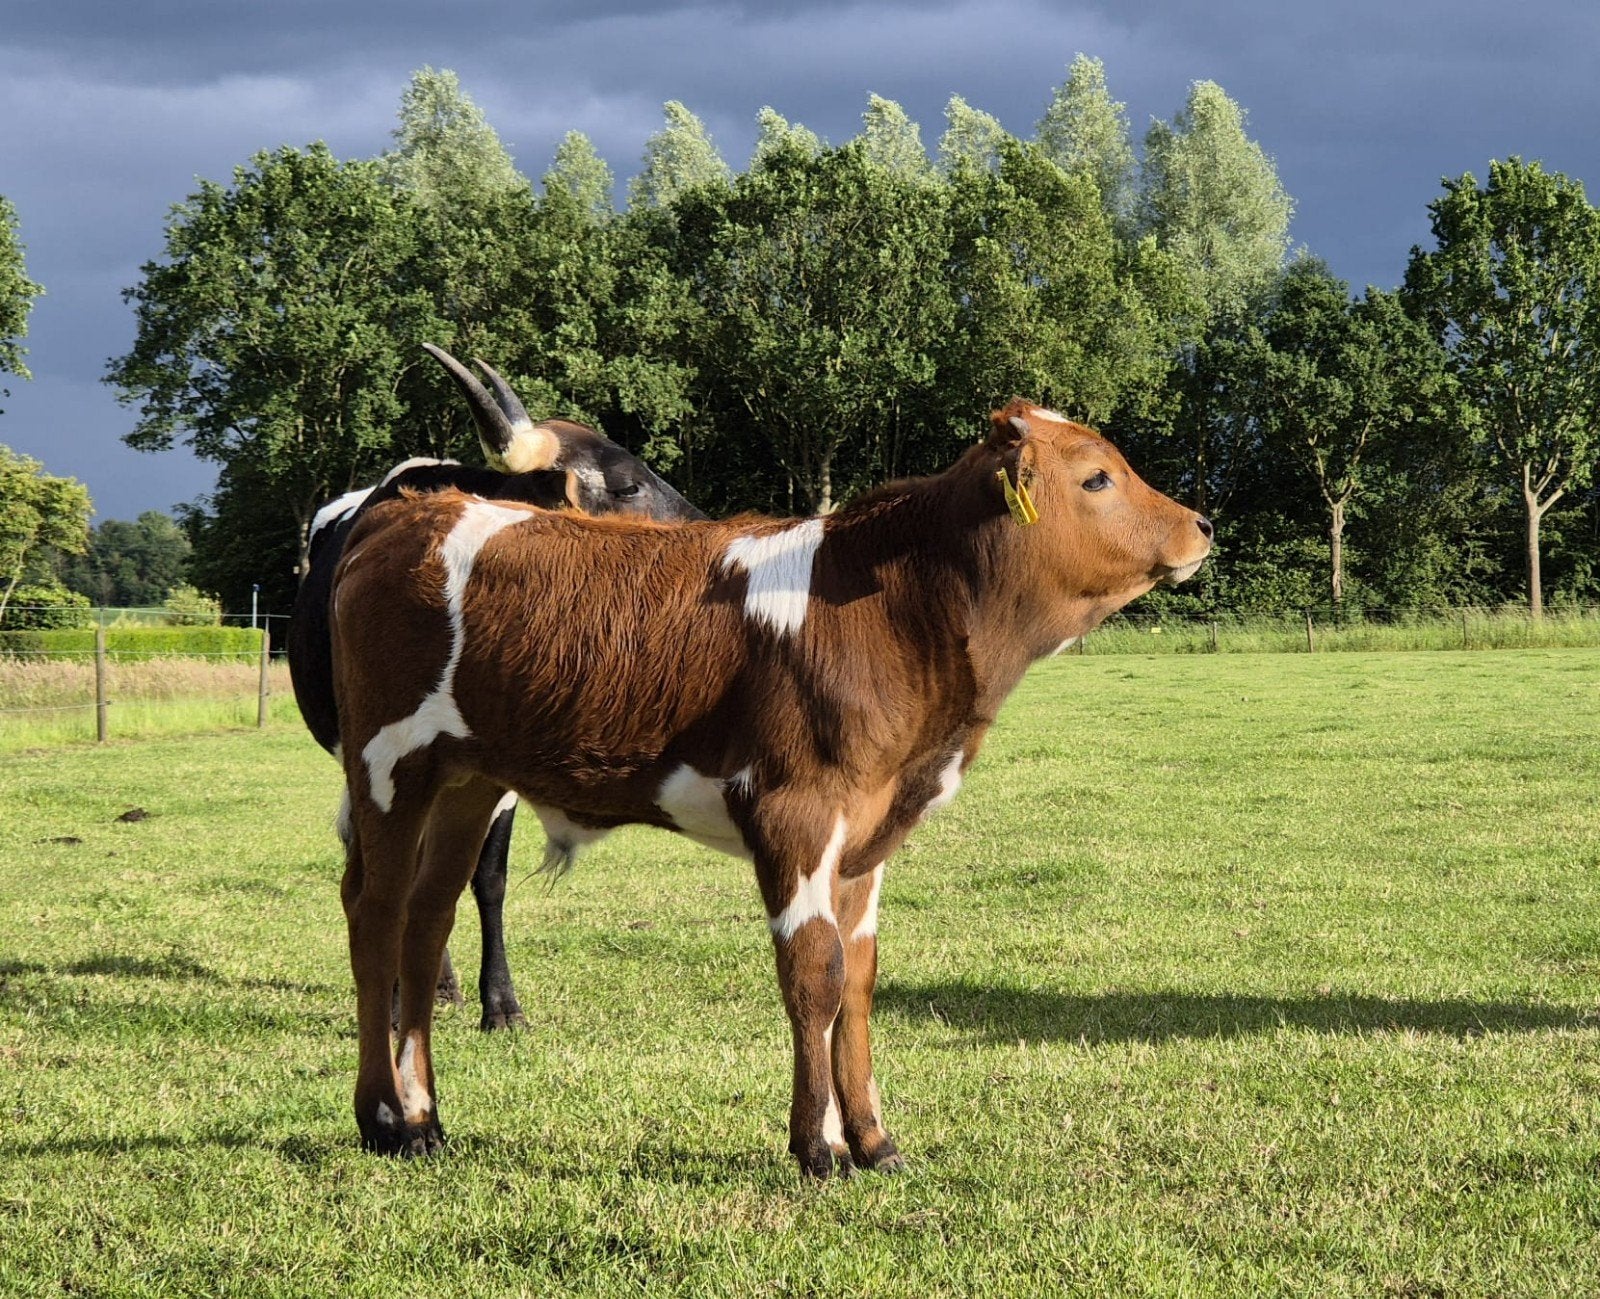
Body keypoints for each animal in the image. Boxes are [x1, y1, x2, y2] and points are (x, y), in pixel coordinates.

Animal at [329, 400, 1212, 1175]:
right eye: (1097, 477)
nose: (1200, 525)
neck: (895, 604)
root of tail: (414, 509)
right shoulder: (796, 811)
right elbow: (813, 973)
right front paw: (818, 1146)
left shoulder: (866, 830)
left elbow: (858, 978)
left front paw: (874, 1140)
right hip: (388, 764)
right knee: (376, 917)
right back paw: (382, 1118)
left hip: (465, 779)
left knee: (426, 920)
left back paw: (426, 1118)